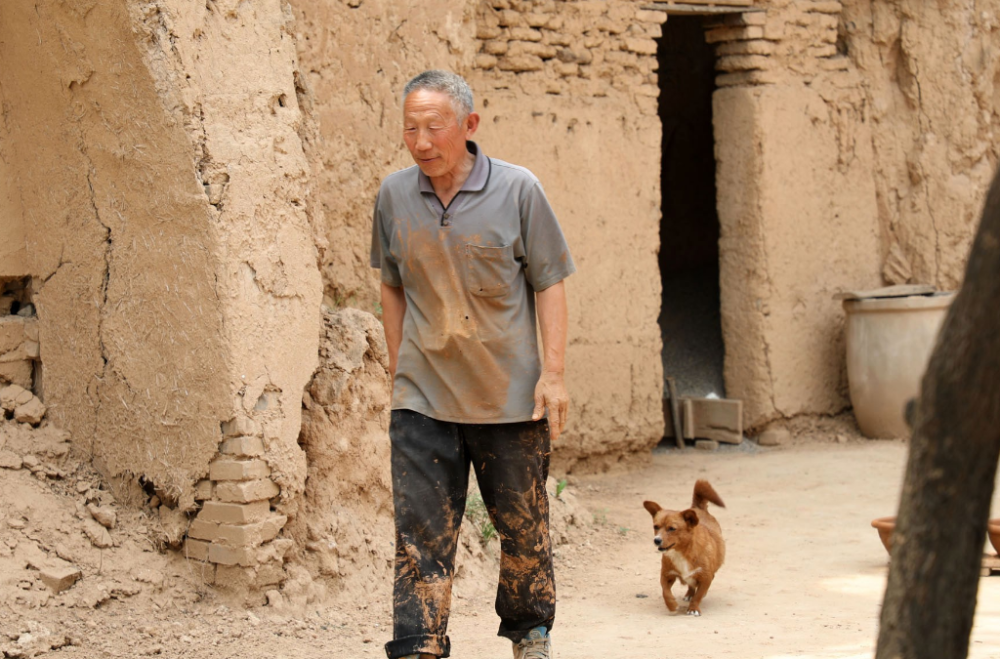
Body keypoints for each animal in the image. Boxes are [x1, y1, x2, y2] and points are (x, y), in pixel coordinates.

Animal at [644, 480, 724, 620]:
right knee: (691, 586)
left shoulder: (706, 577)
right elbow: (665, 592)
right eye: (655, 526)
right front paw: (672, 606)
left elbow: (698, 596)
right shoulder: (666, 575)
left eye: (672, 528)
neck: (681, 553)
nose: (656, 540)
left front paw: (693, 608)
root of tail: (698, 508)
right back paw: (689, 594)